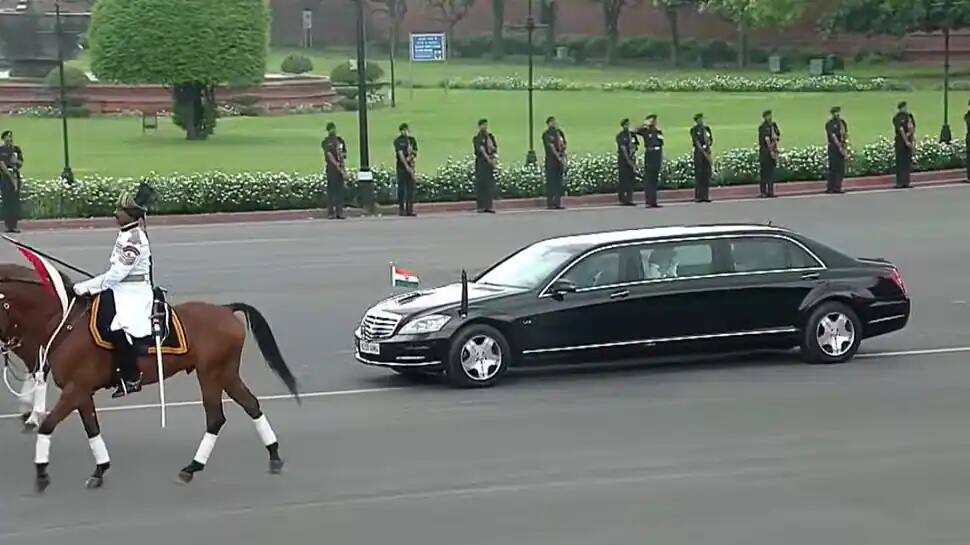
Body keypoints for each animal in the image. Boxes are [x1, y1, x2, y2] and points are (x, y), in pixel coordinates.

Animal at [0, 264, 298, 492]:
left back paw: (192, 467)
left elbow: (48, 425)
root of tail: (225, 309)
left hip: (211, 374)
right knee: (251, 405)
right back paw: (273, 455)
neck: (67, 324)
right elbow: (92, 428)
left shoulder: (75, 389)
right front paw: (100, 469)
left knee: (216, 418)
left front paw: (41, 473)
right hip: (226, 373)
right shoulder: (81, 392)